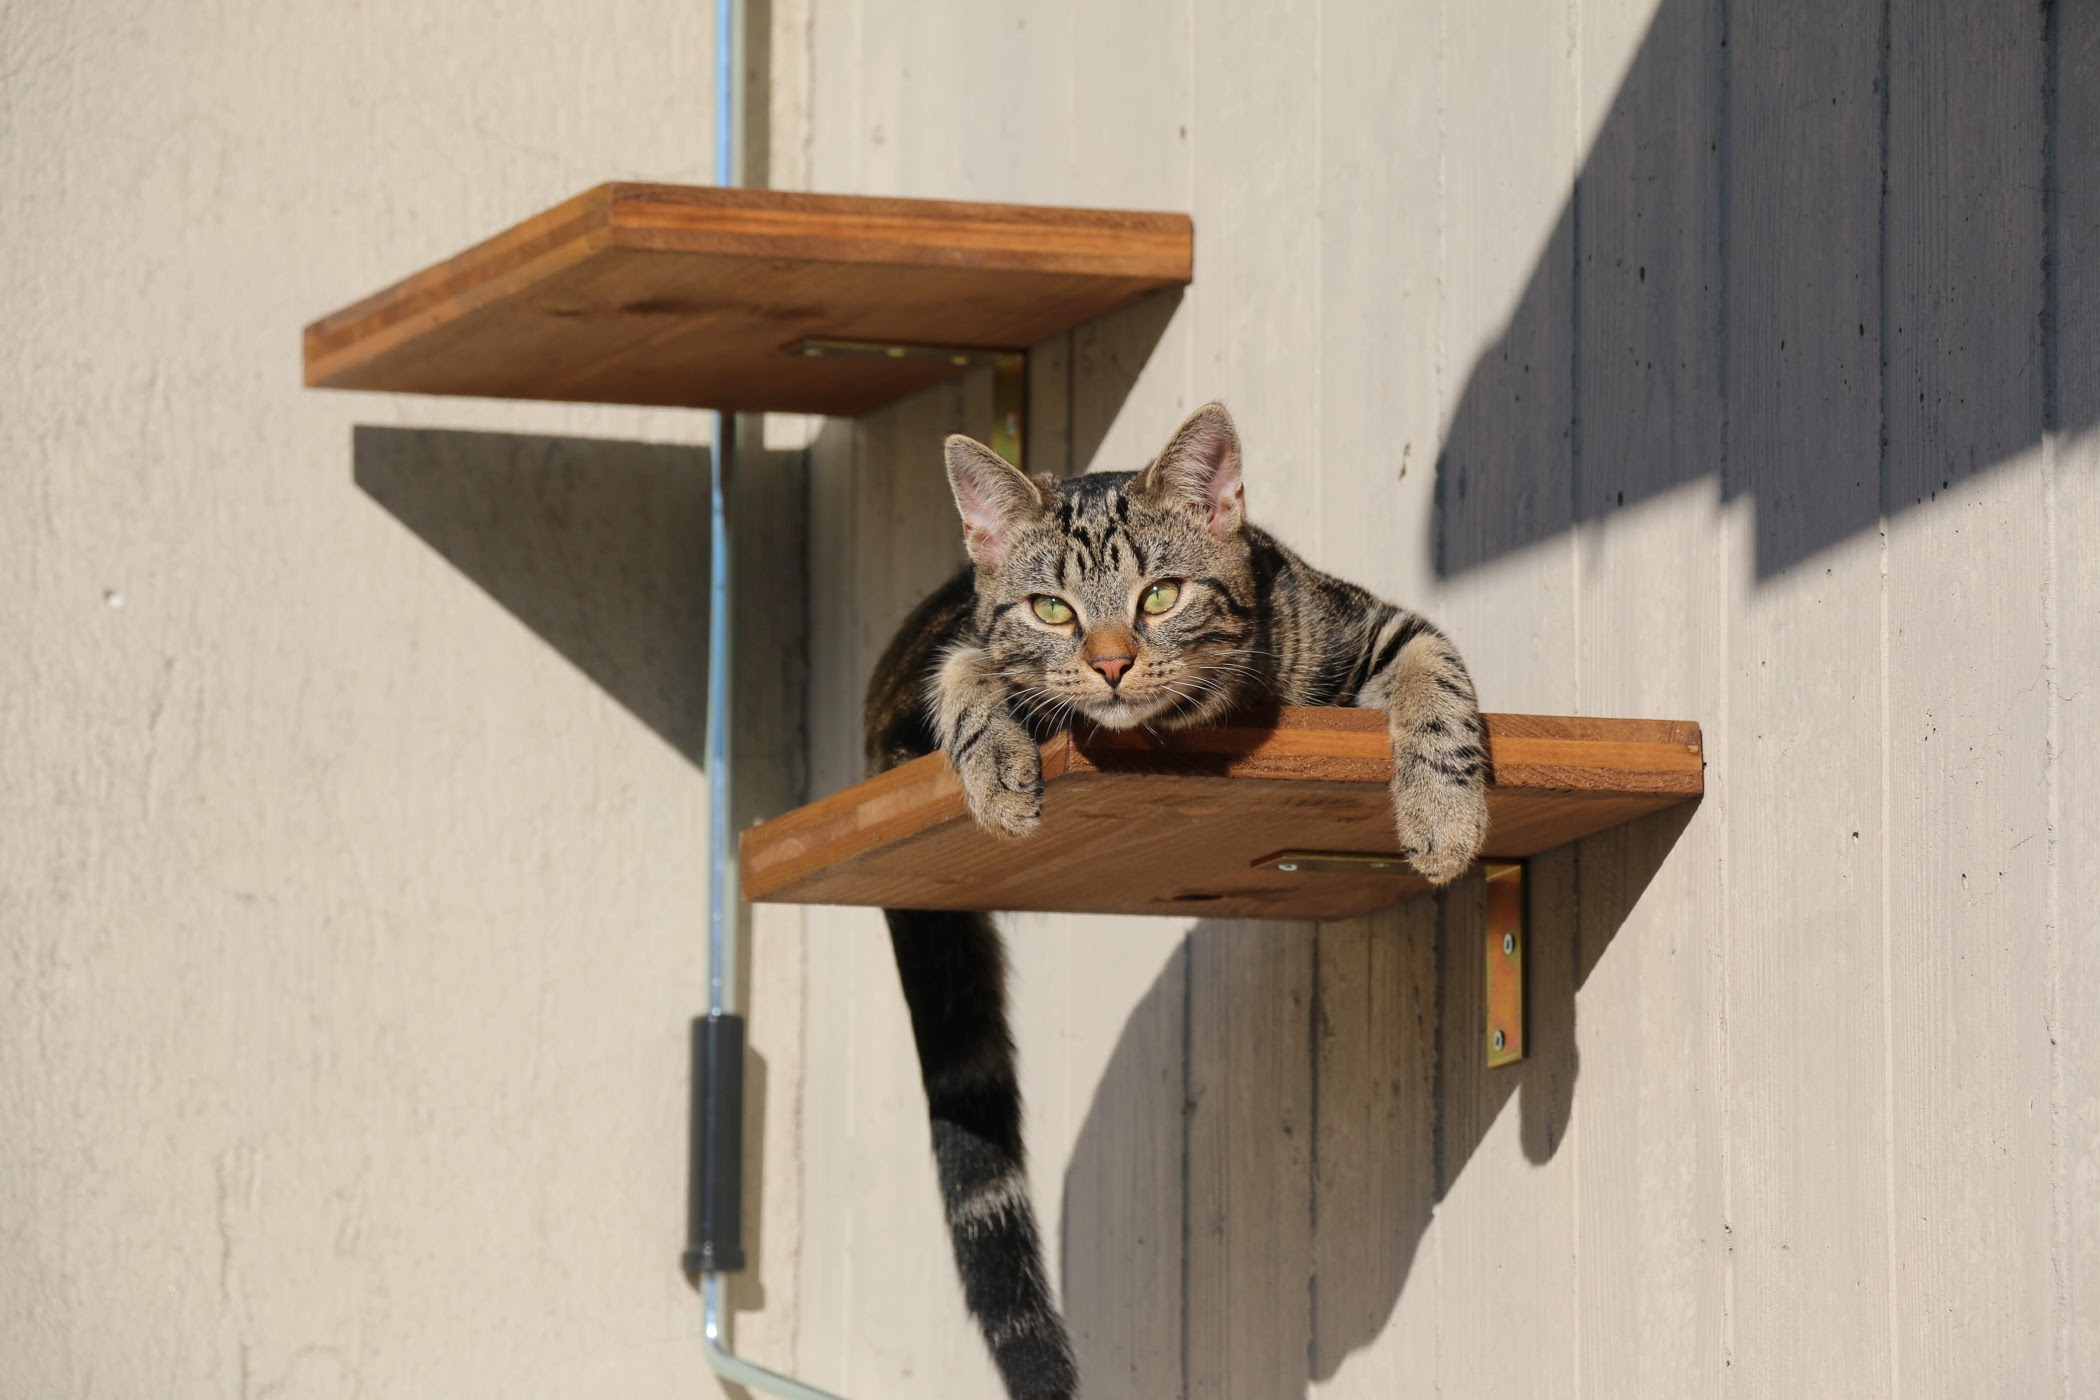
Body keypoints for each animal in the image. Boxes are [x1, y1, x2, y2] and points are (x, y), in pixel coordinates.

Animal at [862, 402, 1490, 1398]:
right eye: (1051, 609)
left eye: (1160, 596)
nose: (1113, 663)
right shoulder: (948, 669)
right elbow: (968, 675)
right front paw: (997, 770)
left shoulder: (1373, 620)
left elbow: (1440, 676)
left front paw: (1445, 814)